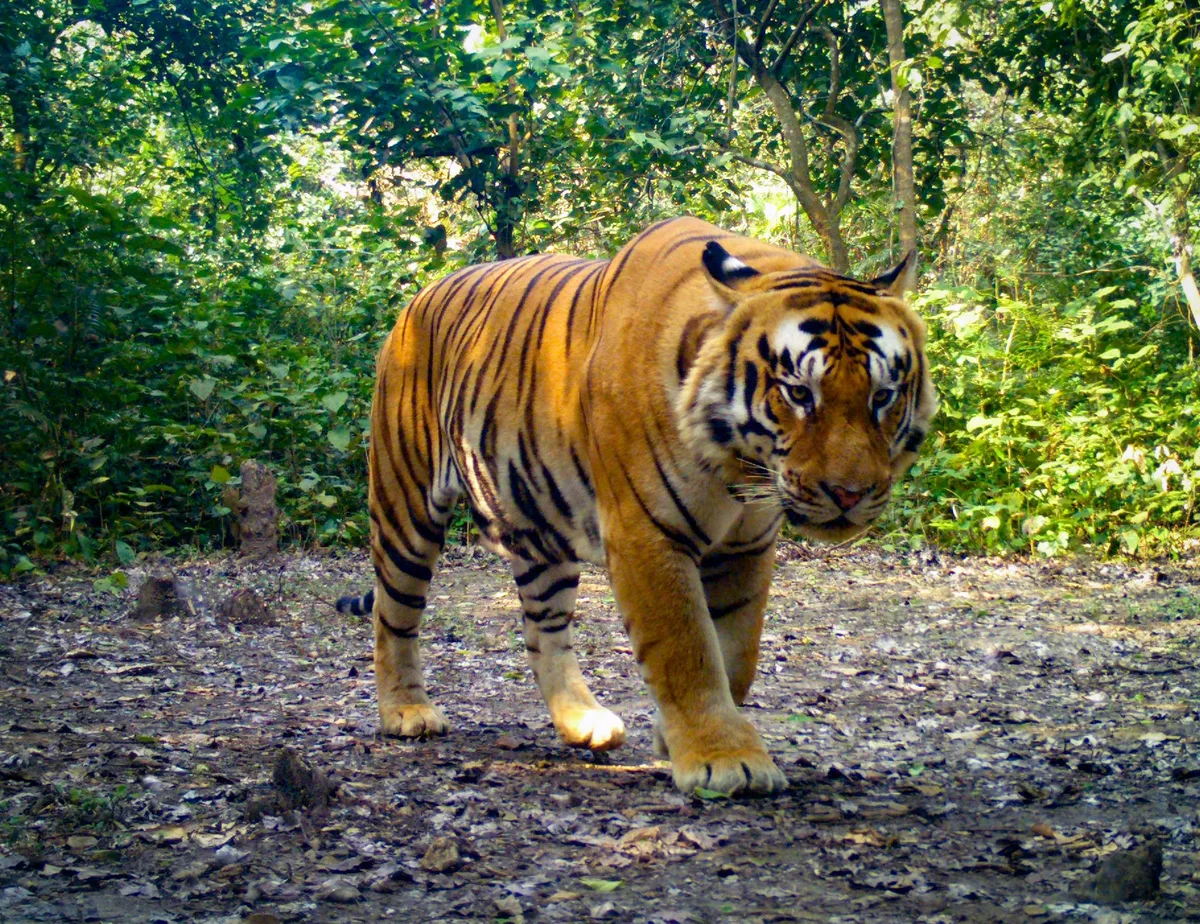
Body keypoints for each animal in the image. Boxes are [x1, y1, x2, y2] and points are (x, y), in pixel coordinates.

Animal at [337, 217, 936, 795]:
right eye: (798, 393)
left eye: (883, 396)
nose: (849, 493)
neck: (741, 466)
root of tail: (420, 296)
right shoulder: (647, 532)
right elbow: (686, 649)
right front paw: (725, 760)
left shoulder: (747, 545)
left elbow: (737, 652)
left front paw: (680, 738)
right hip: (405, 506)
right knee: (394, 615)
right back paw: (407, 711)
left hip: (539, 530)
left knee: (542, 629)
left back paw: (583, 723)